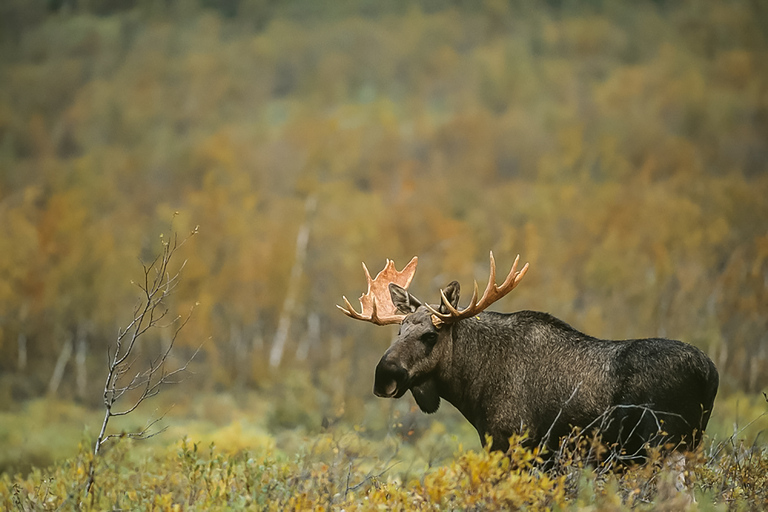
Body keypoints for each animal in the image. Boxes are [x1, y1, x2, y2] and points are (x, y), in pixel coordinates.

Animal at [340, 254, 716, 462]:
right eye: (399, 331)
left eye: (430, 336)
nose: (383, 376)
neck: (471, 387)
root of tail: (710, 372)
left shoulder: (513, 443)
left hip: (663, 444)